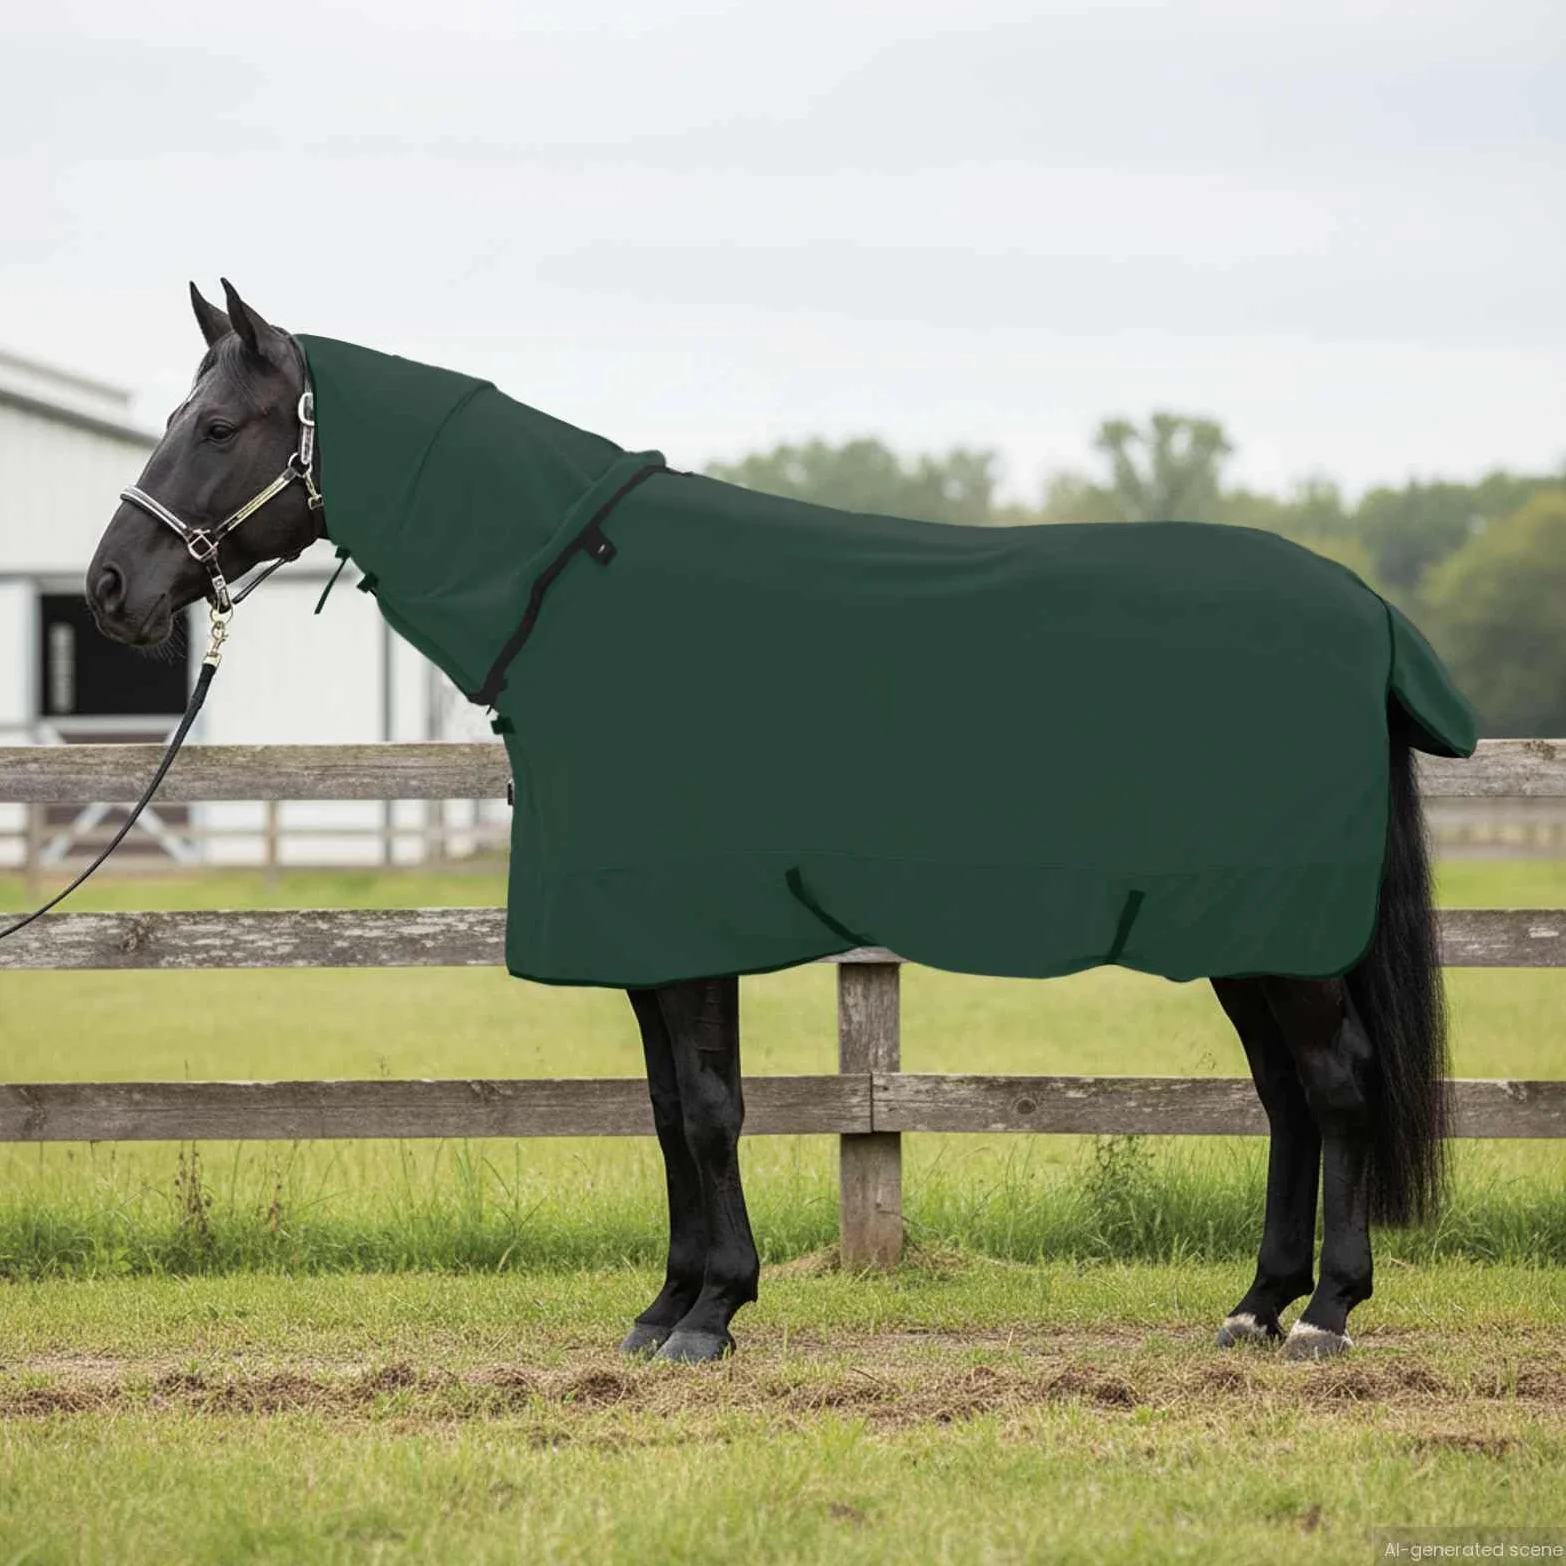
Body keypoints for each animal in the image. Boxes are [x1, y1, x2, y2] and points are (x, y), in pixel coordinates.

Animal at [86, 279, 1458, 1363]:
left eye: (216, 426)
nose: (110, 589)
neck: (582, 594)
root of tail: (1365, 613)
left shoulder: (685, 927)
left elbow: (708, 1108)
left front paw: (711, 1315)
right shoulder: (644, 937)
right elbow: (664, 1109)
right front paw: (665, 1307)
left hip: (1284, 935)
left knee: (1336, 1088)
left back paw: (1325, 1315)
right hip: (1245, 934)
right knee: (1286, 1097)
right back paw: (1256, 1305)